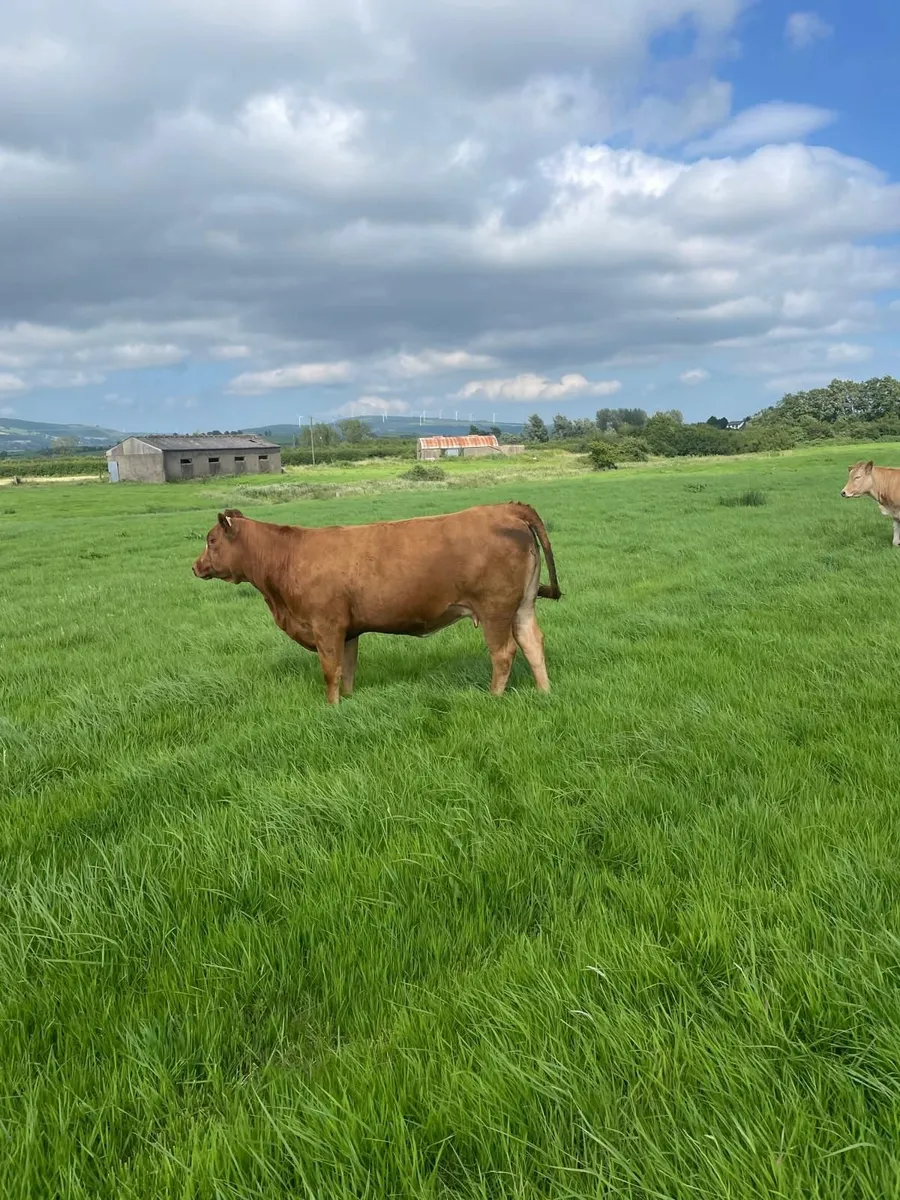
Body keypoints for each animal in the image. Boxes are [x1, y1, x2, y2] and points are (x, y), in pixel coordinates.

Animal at [192, 502, 561, 704]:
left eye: (211, 540)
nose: (196, 566)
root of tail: (504, 508)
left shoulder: (326, 625)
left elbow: (330, 671)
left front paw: (330, 706)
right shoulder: (348, 630)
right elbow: (348, 669)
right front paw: (347, 703)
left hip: (495, 609)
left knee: (504, 652)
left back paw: (493, 697)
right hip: (523, 605)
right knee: (532, 642)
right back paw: (544, 692)